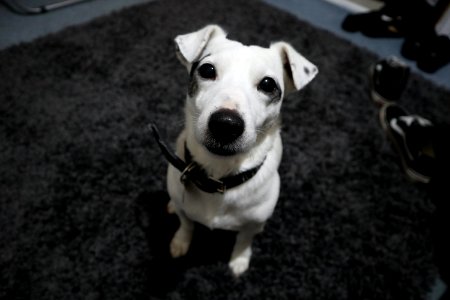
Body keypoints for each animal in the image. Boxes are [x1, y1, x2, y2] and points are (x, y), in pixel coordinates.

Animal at [160, 24, 318, 276]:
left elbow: (244, 240)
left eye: (268, 84)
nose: (226, 124)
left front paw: (240, 259)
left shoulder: (252, 223)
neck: (219, 176)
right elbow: (186, 225)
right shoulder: (185, 209)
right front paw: (180, 242)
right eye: (207, 70)